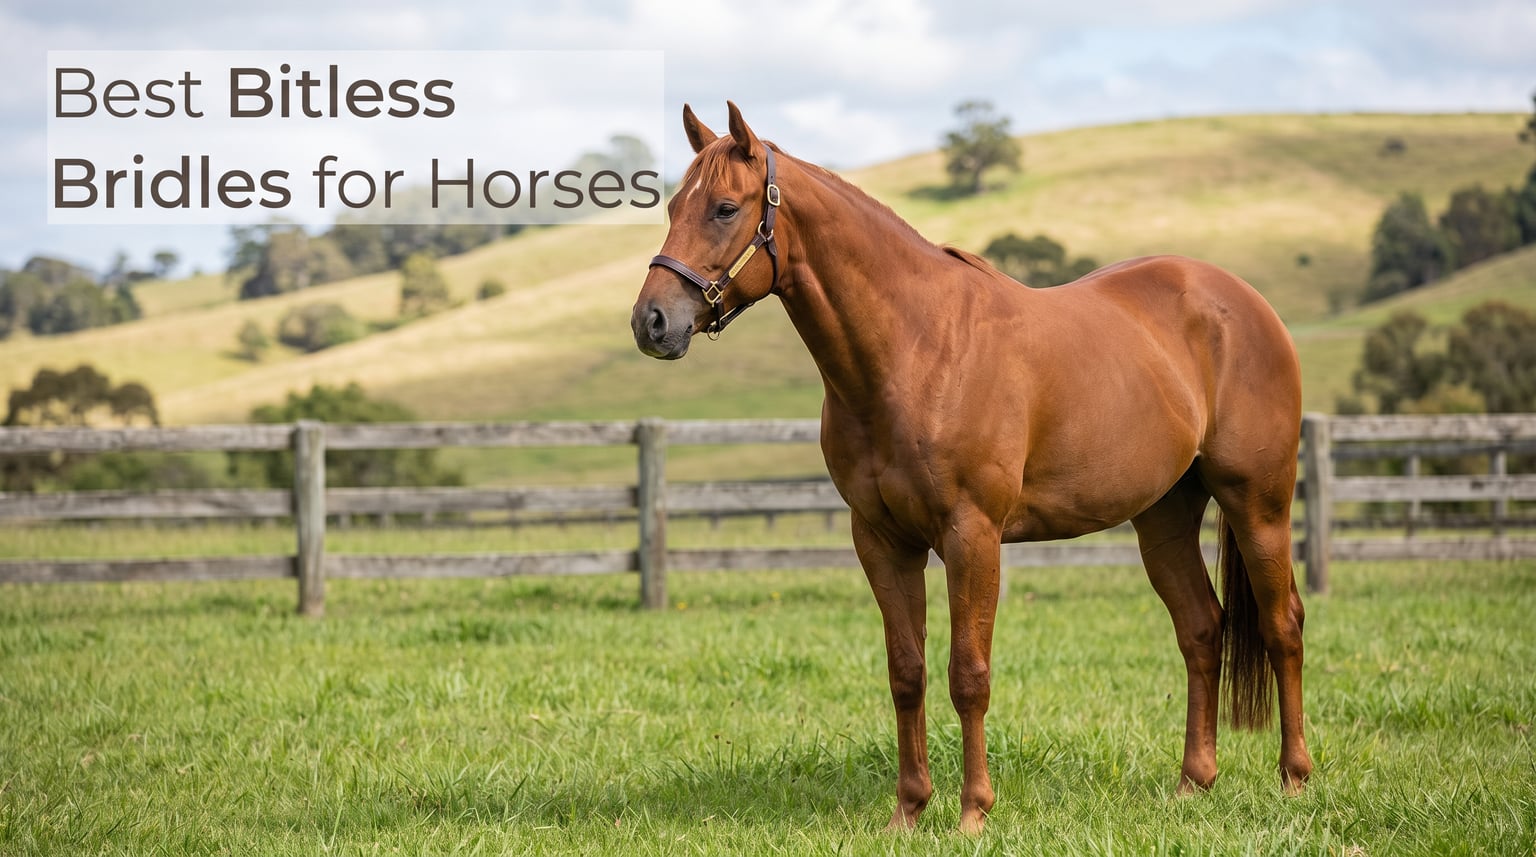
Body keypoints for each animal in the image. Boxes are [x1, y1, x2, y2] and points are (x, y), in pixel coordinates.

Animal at [631, 102, 1312, 834]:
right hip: (1164, 516)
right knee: (1202, 629)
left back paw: (1294, 778)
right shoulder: (881, 540)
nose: (652, 322)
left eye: (726, 208)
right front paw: (908, 809)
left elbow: (968, 673)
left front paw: (973, 810)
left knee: (1282, 625)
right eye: (672, 204)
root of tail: (1243, 301)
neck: (916, 349)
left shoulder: (972, 536)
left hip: (1258, 503)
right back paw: (1193, 782)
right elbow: (907, 671)